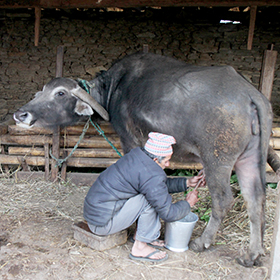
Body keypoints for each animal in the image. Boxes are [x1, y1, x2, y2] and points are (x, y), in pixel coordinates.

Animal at [14, 52, 272, 266]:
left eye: (60, 93)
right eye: (41, 91)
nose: (21, 114)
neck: (115, 88)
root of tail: (250, 94)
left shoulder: (130, 142)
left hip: (217, 160)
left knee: (223, 199)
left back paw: (202, 242)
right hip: (248, 159)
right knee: (255, 198)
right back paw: (252, 255)